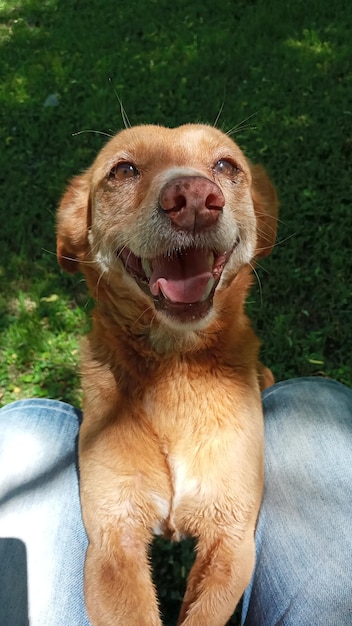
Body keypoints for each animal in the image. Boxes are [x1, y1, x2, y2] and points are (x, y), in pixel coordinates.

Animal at [56, 123, 280, 624]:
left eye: (226, 165)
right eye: (123, 170)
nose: (195, 198)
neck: (175, 366)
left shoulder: (232, 537)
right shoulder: (112, 542)